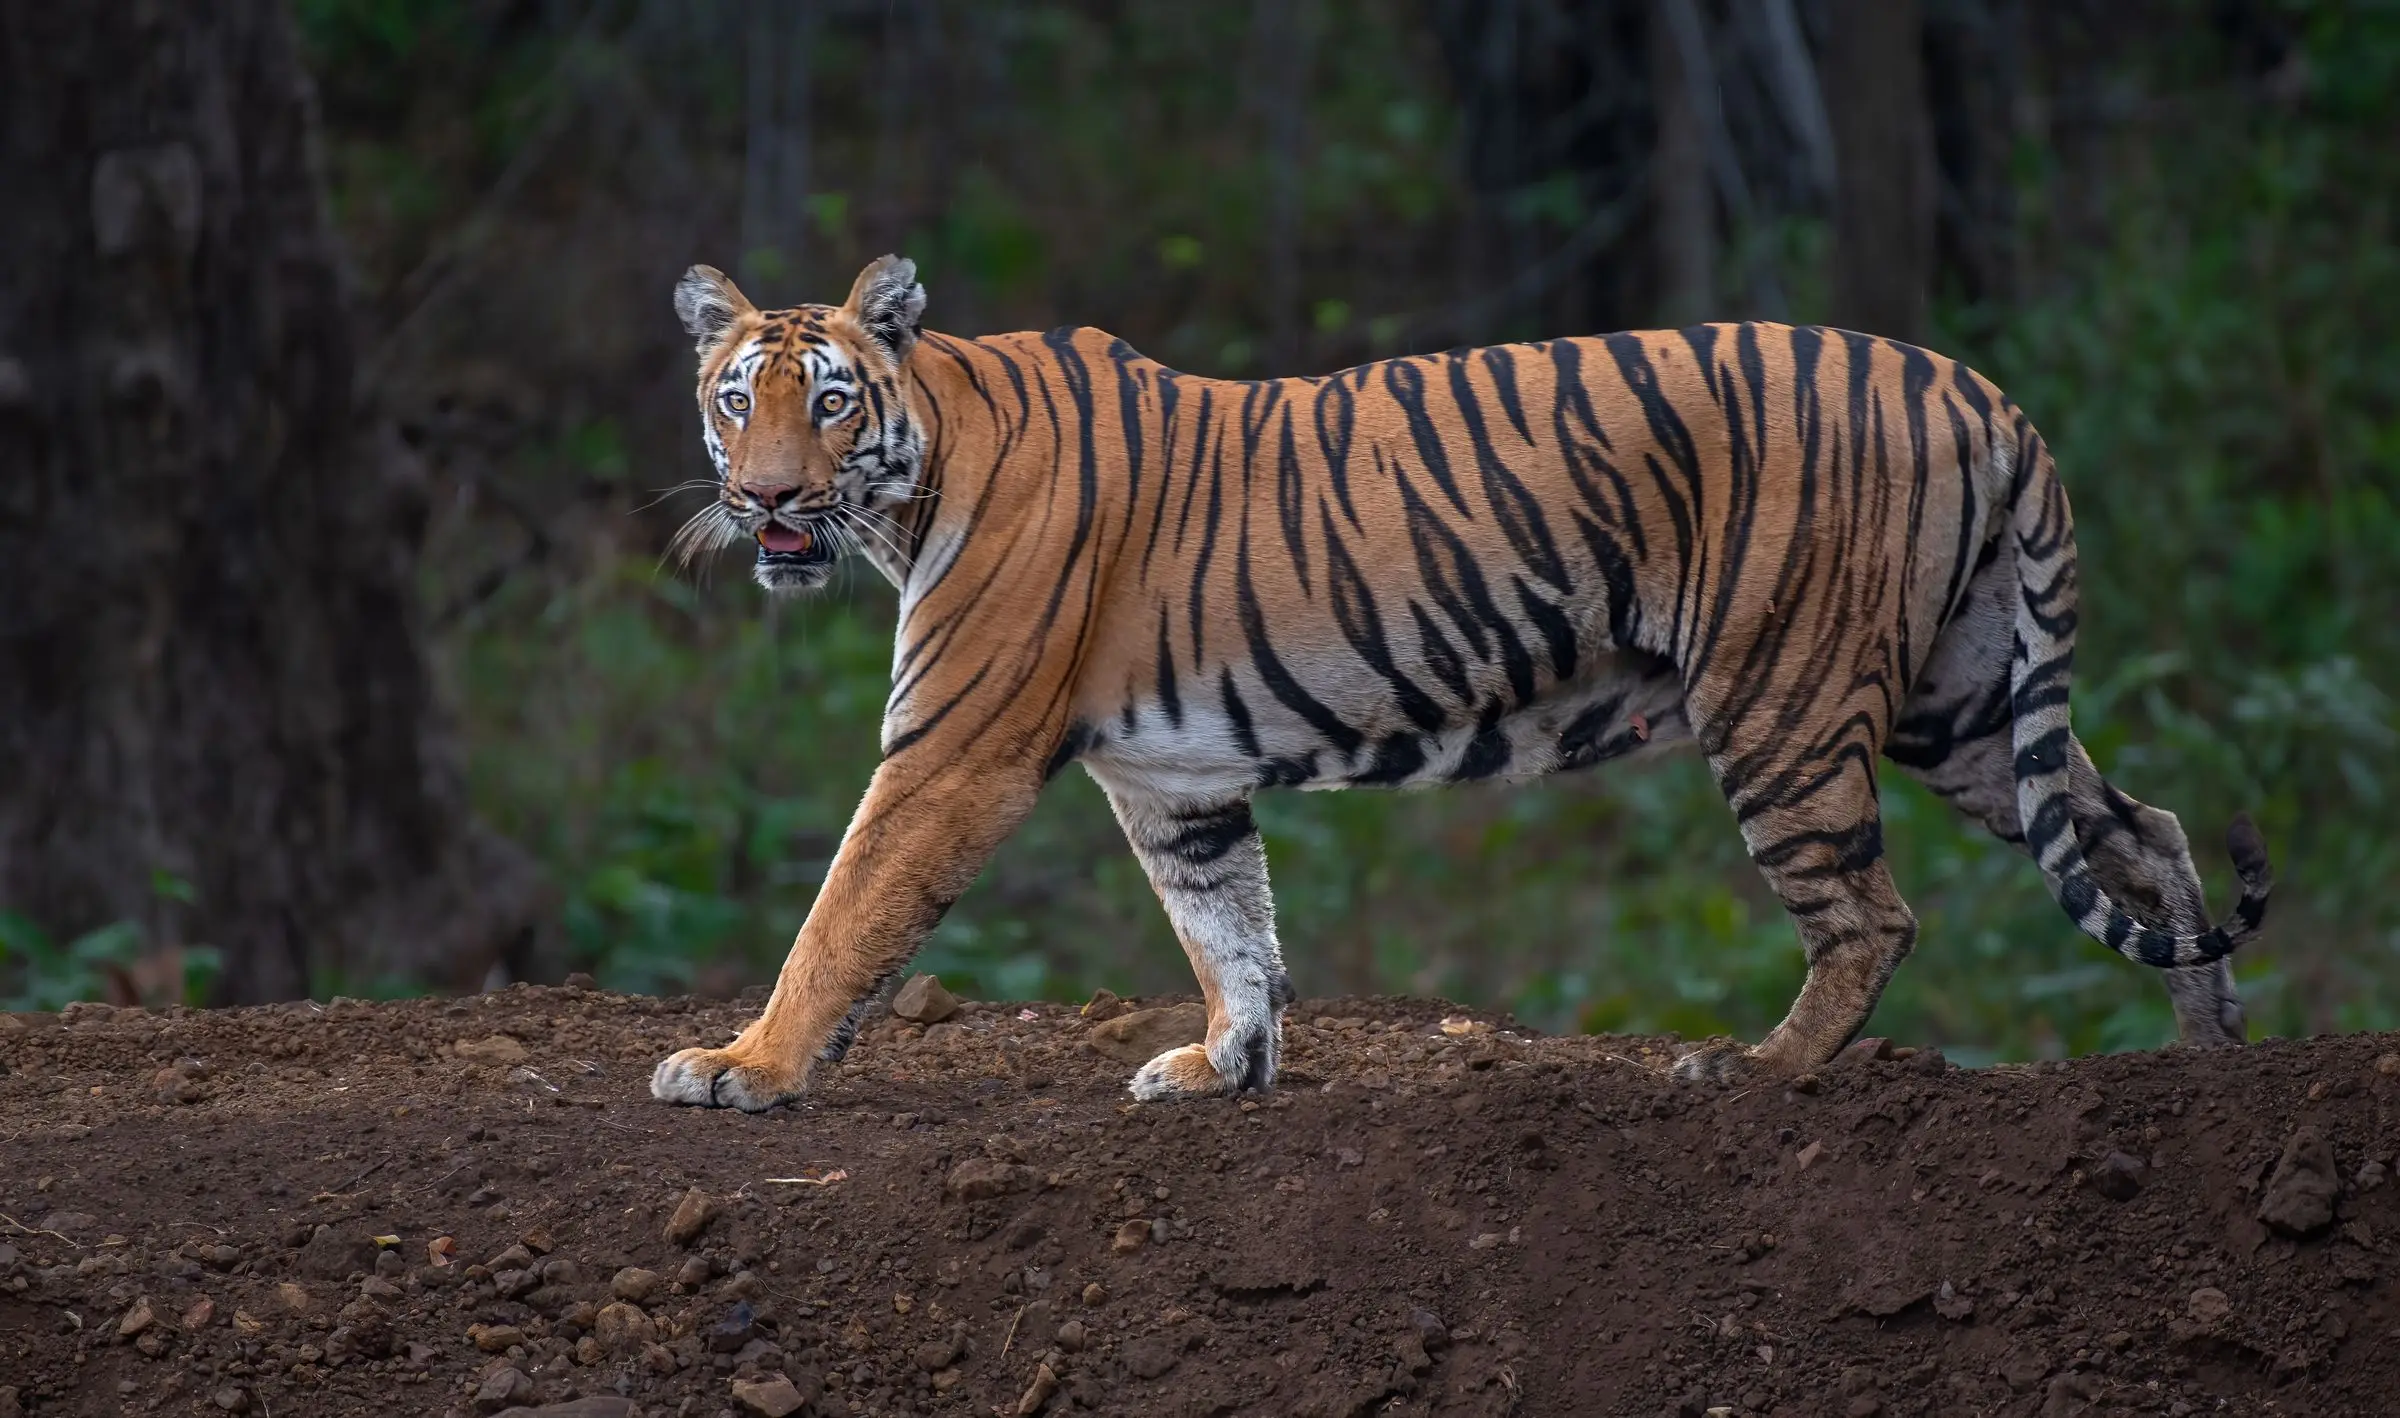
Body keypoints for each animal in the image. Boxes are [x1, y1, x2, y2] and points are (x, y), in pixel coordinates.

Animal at [649, 254, 2272, 1111]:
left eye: (829, 402)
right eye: (736, 399)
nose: (766, 498)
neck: (918, 470)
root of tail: (1977, 386)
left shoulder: (949, 750)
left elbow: (843, 916)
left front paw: (743, 1063)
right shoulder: (1178, 783)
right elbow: (1229, 928)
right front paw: (1226, 1061)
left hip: (1786, 699)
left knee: (1875, 914)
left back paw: (1754, 1070)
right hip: (1969, 698)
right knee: (2146, 832)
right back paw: (2210, 1061)